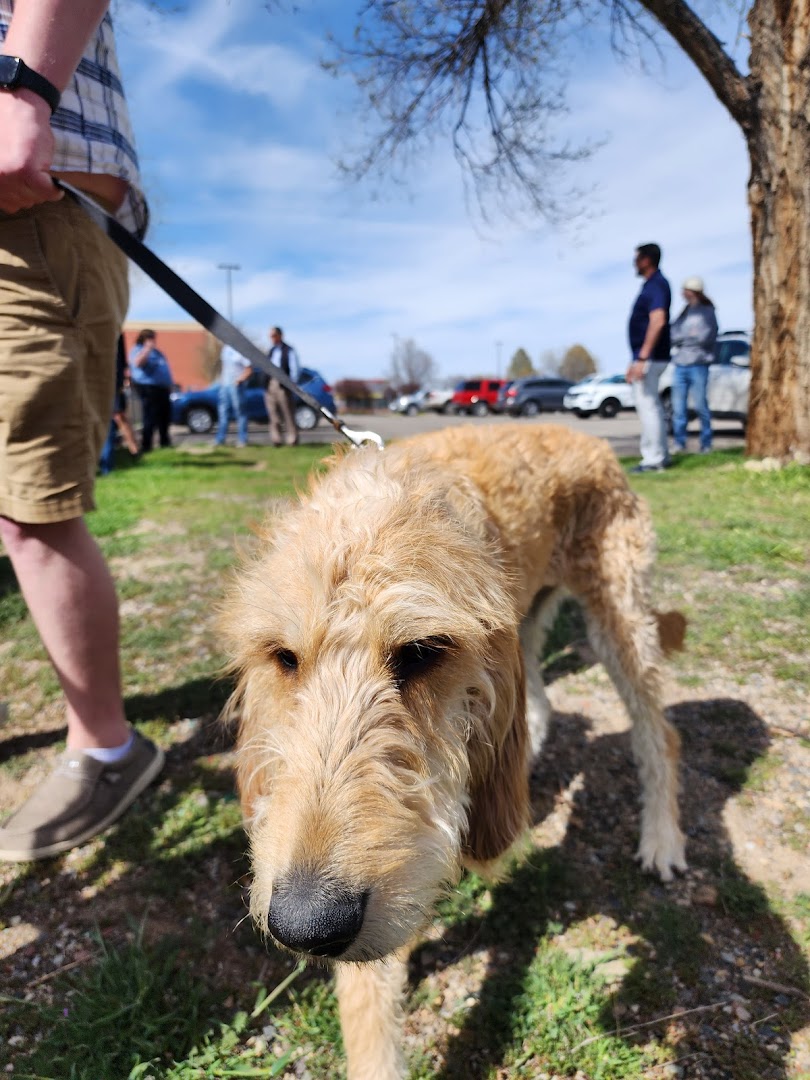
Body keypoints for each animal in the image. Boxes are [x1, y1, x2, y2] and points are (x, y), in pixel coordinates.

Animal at [220, 425, 686, 1075]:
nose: (307, 925)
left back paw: (661, 837)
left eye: (421, 651)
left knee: (656, 732)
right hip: (534, 611)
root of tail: (583, 433)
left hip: (618, 615)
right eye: (283, 658)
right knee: (538, 696)